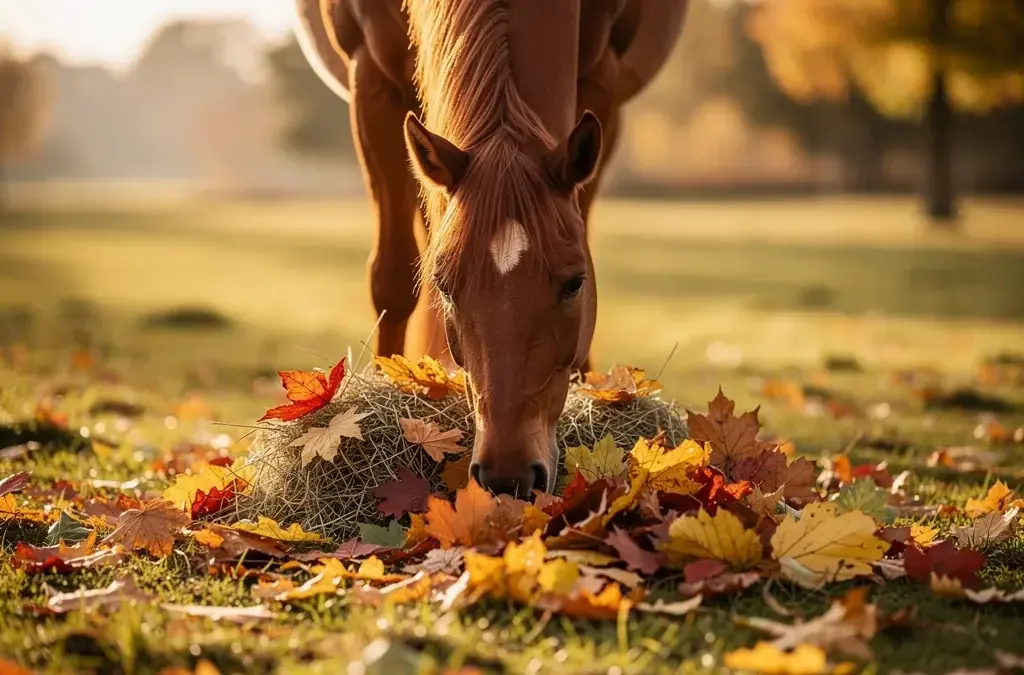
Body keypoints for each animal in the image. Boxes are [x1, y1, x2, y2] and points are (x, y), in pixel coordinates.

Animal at [294, 0, 688, 498]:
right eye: (444, 285)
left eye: (575, 283)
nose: (507, 477)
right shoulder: (371, 78)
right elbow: (393, 283)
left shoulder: (603, 79)